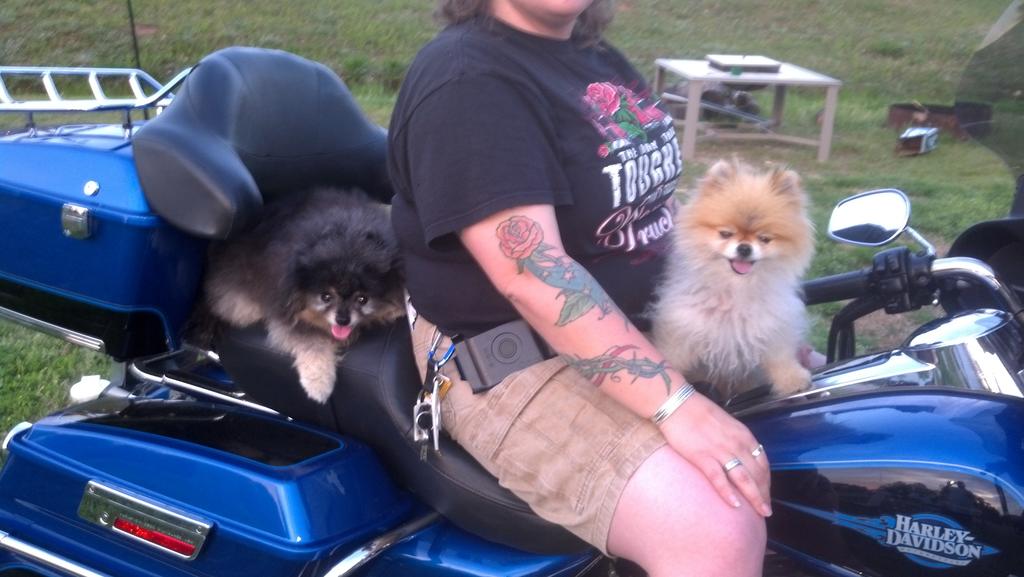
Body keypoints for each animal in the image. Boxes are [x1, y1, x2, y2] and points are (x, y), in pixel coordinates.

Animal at [201, 187, 405, 403]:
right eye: (326, 297)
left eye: (362, 299)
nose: (342, 320)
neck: (347, 236)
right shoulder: (285, 310)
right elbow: (312, 341)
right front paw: (319, 384)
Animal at [650, 158, 815, 400]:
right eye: (725, 234)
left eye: (764, 239)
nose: (744, 248)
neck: (734, 289)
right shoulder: (684, 326)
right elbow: (673, 356)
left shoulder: (770, 325)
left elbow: (779, 356)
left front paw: (792, 380)